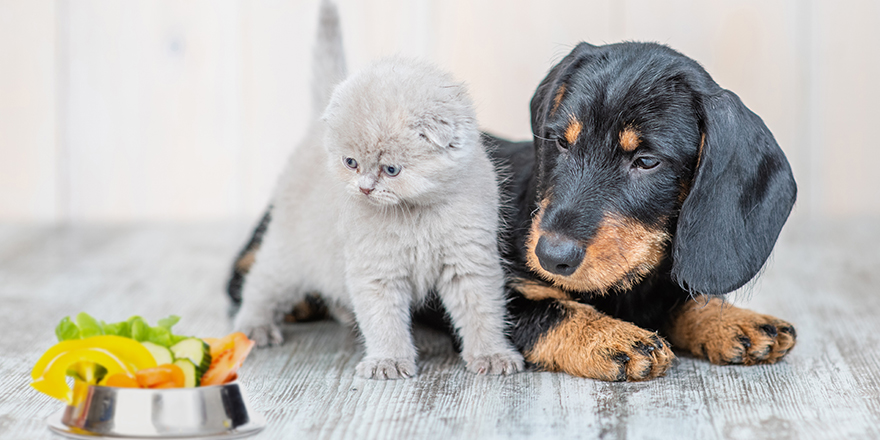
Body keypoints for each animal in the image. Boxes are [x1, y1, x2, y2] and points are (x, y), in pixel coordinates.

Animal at [232, 0, 524, 378]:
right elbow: (383, 320)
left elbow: (483, 312)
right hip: (288, 253)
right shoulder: (376, 269)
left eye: (391, 169)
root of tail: (313, 130)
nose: (365, 188)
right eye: (351, 162)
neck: (415, 214)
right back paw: (254, 327)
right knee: (261, 284)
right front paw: (389, 361)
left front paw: (492, 355)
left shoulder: (470, 261)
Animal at [492, 41, 800, 382]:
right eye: (561, 142)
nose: (550, 256)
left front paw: (734, 321)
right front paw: (609, 336)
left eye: (647, 161)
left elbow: (681, 300)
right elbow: (548, 310)